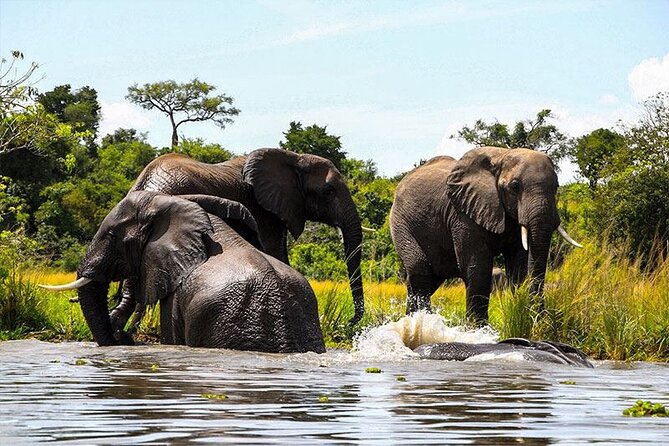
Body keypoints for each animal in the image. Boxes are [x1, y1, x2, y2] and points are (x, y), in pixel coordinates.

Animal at [390, 147, 581, 323]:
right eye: (515, 186)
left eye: (556, 186)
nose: (540, 319)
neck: (502, 156)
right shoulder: (463, 213)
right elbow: (477, 266)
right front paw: (479, 329)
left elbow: (518, 264)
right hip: (400, 222)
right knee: (419, 268)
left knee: (429, 279)